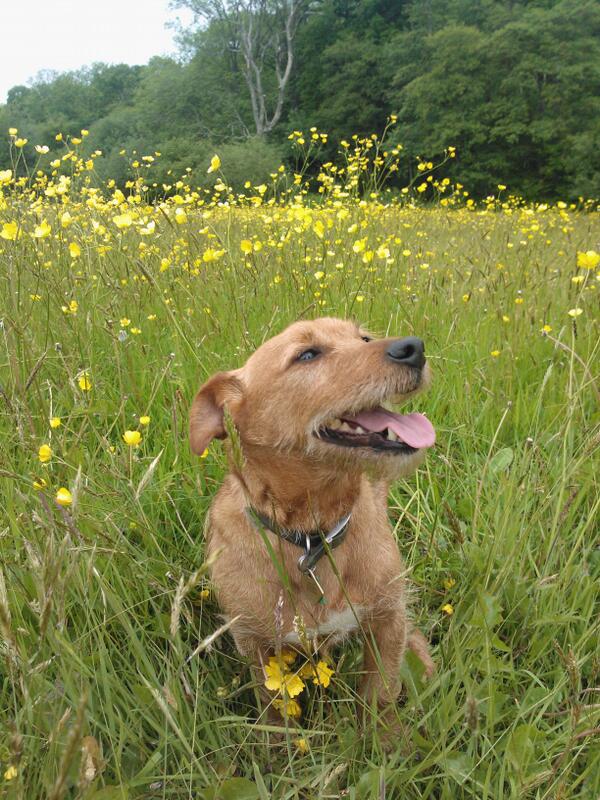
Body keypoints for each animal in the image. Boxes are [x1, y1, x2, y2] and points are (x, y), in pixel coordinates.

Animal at [192, 318, 436, 720]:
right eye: (307, 355)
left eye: (363, 338)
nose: (414, 348)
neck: (312, 534)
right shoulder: (256, 645)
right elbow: (274, 713)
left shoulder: (386, 620)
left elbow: (381, 697)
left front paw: (383, 735)